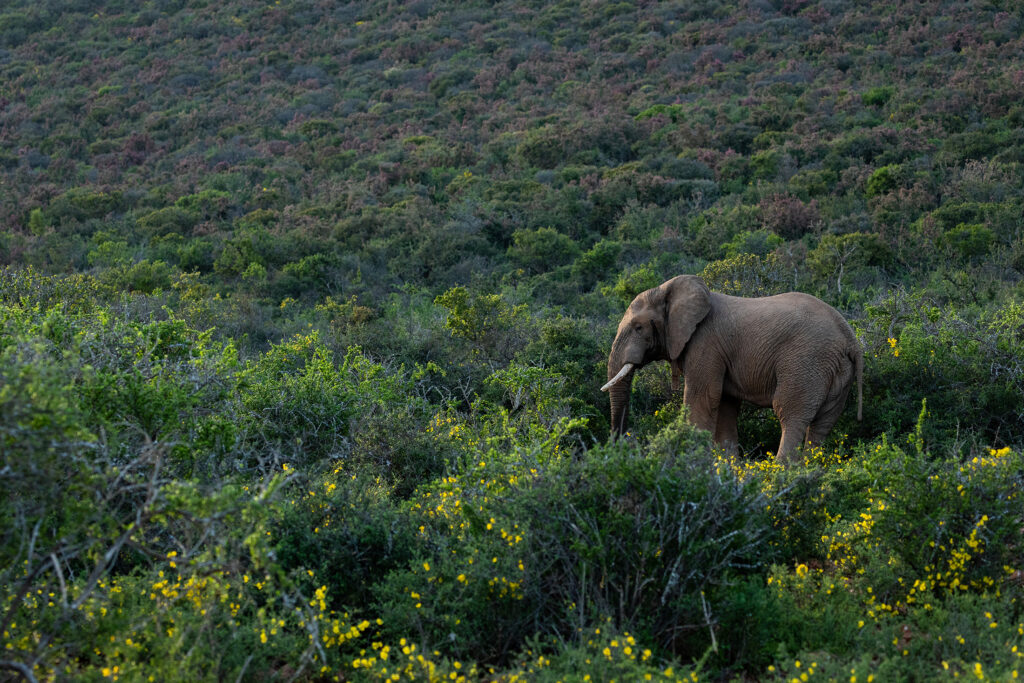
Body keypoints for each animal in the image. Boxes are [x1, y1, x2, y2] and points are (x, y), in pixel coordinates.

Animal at [602, 274, 860, 464]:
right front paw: (729, 466)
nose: (622, 446)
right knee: (823, 423)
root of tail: (850, 338)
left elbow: (703, 397)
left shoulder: (705, 343)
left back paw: (780, 473)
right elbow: (725, 403)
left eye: (638, 328)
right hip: (838, 370)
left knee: (790, 413)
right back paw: (811, 468)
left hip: (807, 361)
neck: (667, 290)